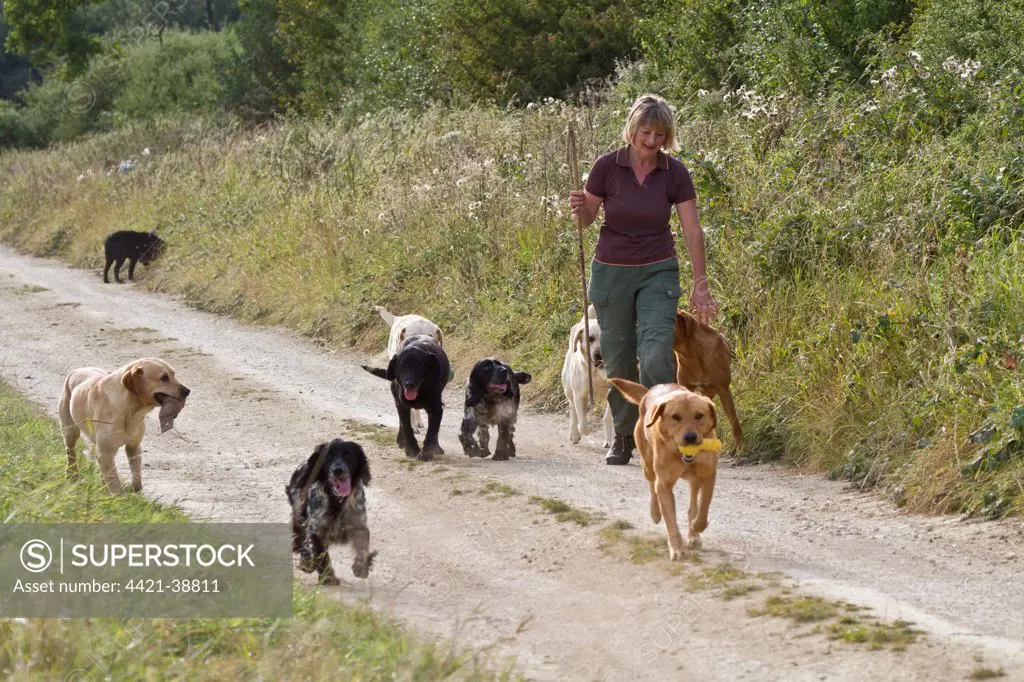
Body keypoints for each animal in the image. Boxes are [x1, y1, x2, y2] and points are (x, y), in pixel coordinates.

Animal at [284, 438, 376, 585]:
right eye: (328, 456)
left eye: (348, 455)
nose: (338, 470)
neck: (337, 501)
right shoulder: (316, 530)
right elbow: (321, 555)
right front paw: (328, 577)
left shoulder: (359, 525)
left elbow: (362, 548)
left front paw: (361, 568)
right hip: (298, 514)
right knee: (300, 536)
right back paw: (305, 561)